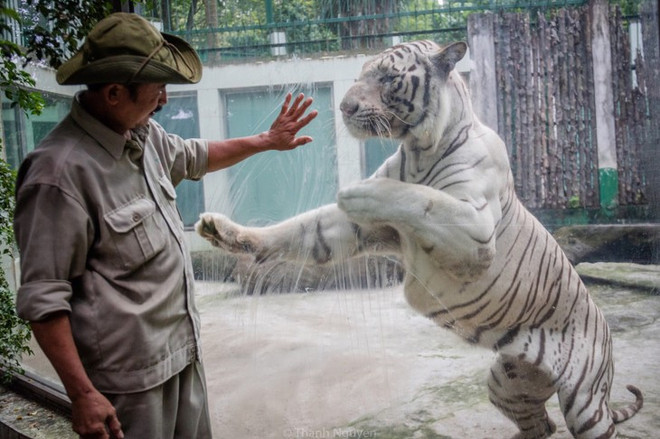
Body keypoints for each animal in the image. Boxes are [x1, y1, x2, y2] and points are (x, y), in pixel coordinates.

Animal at [195, 40, 643, 438]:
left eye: (387, 77)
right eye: (358, 76)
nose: (345, 107)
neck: (418, 148)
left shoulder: (474, 228)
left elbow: (420, 198)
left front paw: (358, 191)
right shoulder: (360, 230)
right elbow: (301, 229)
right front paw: (224, 230)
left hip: (585, 403)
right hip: (507, 383)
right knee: (541, 425)